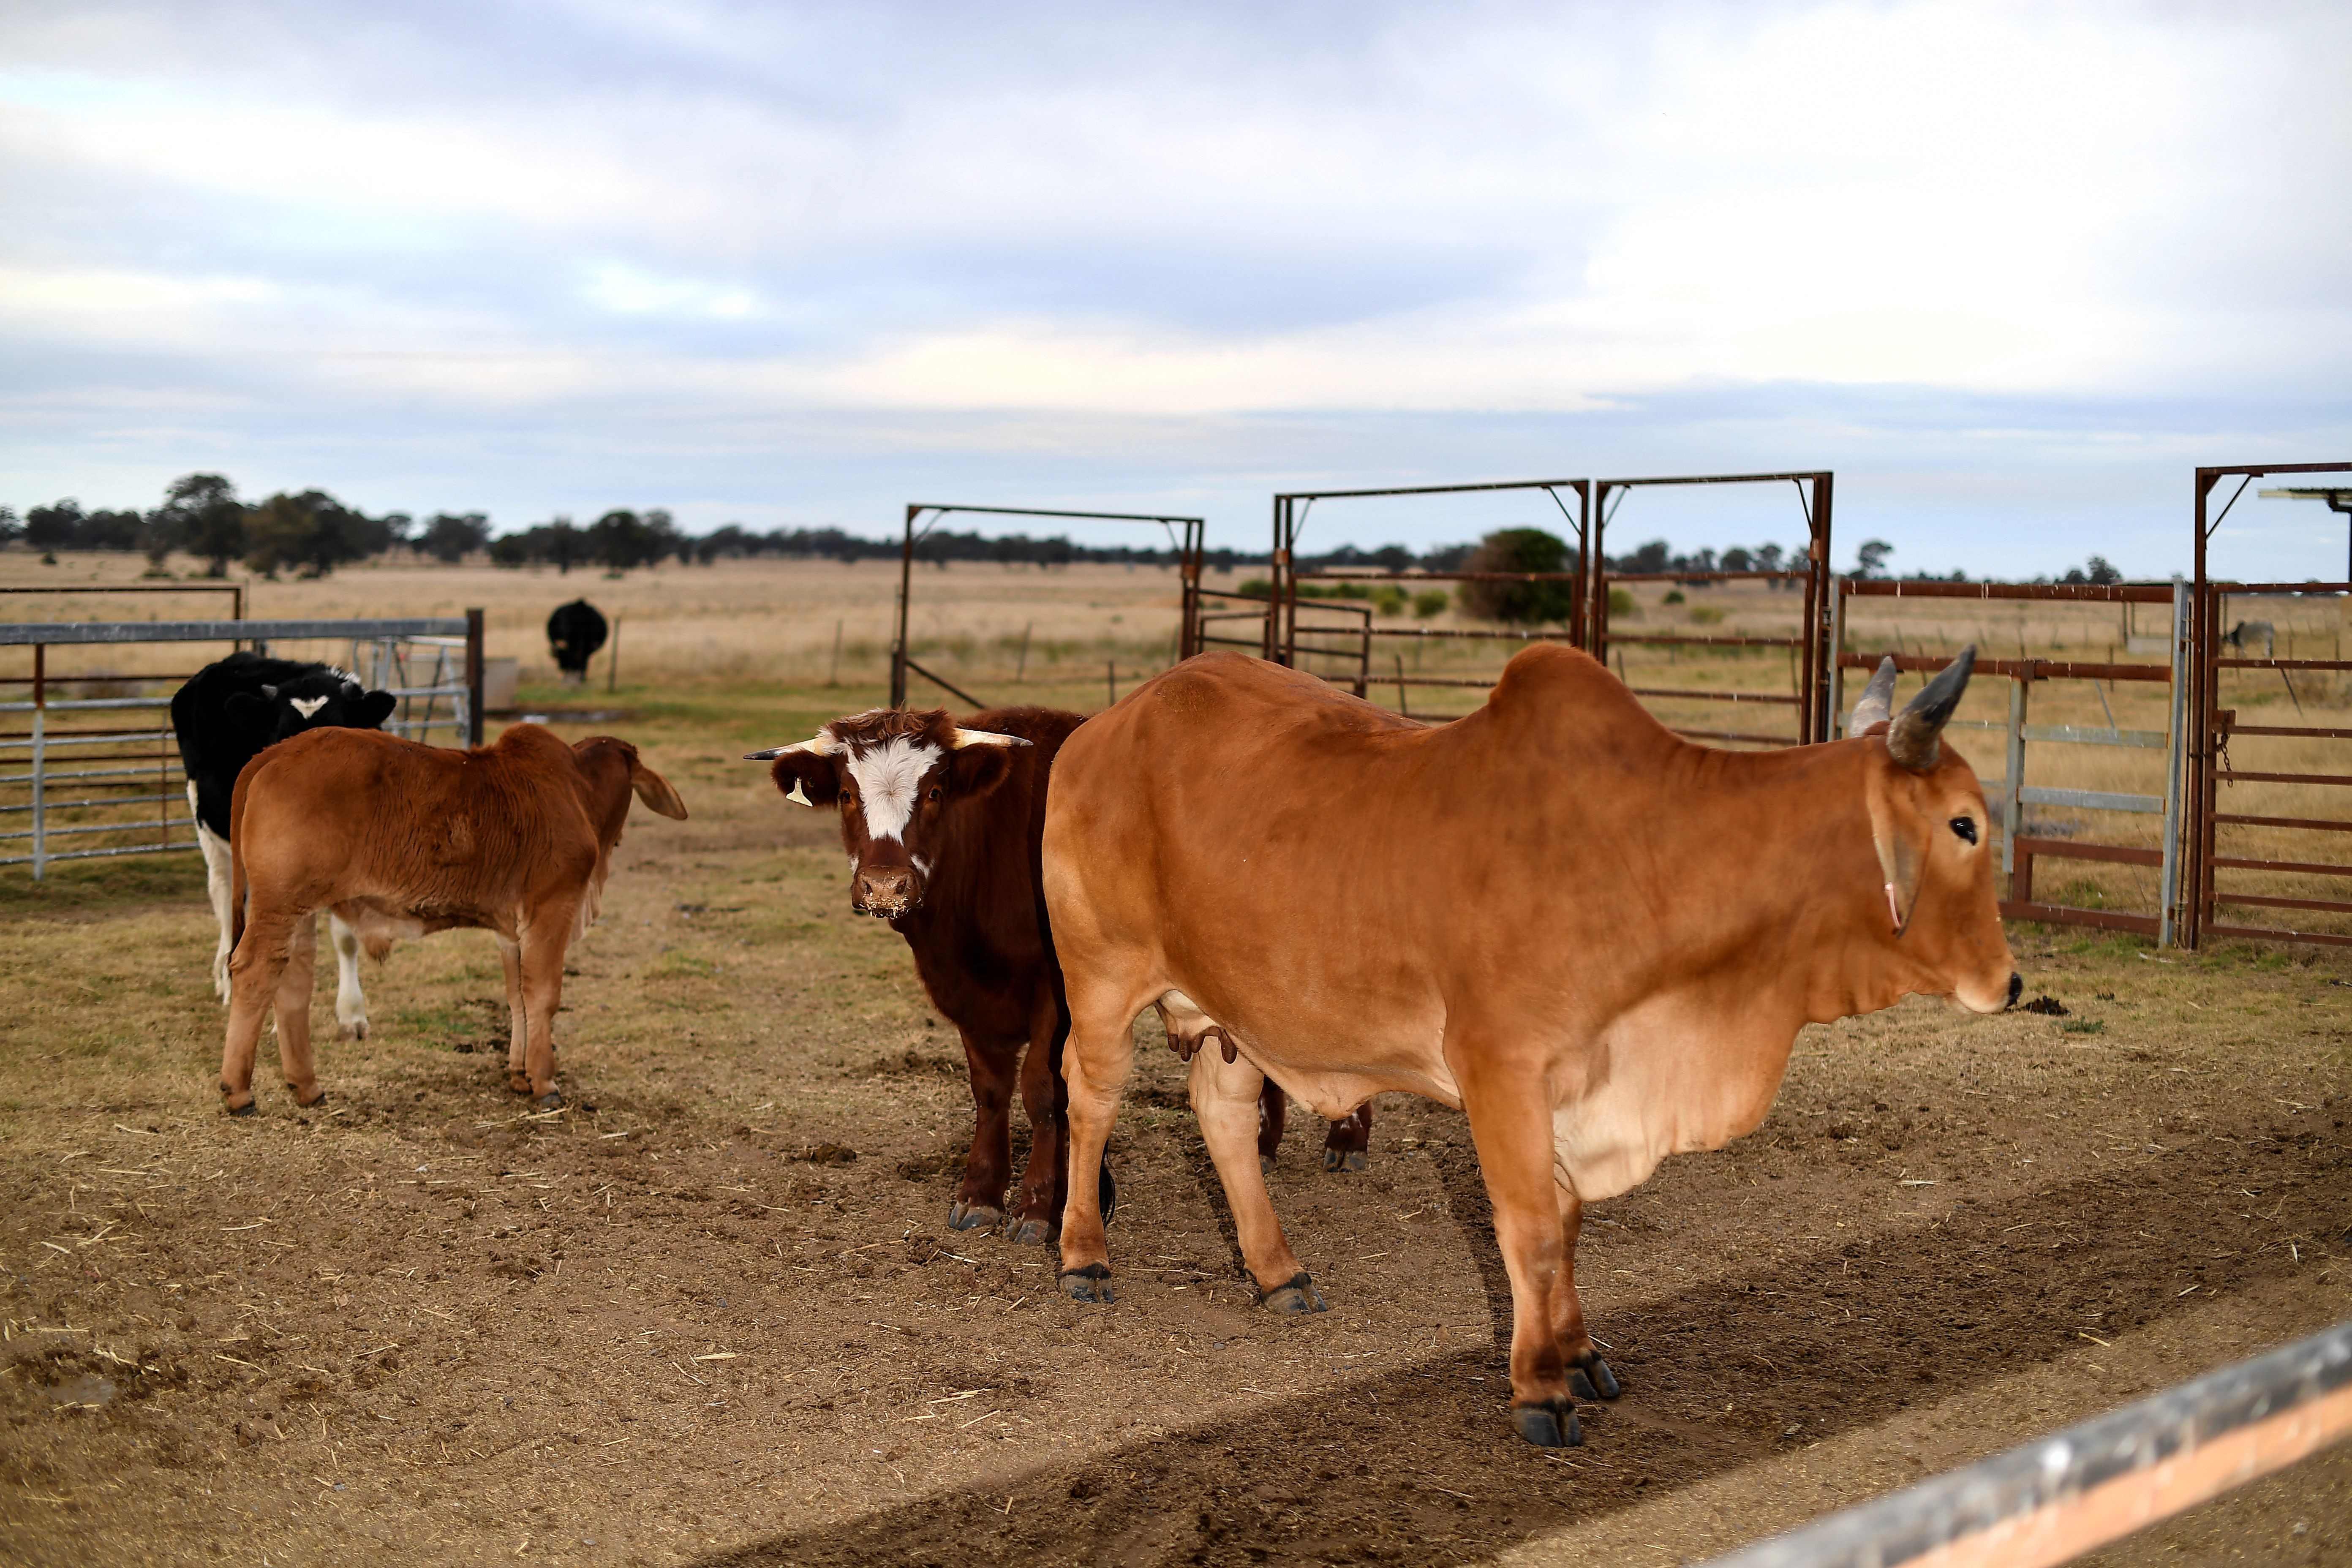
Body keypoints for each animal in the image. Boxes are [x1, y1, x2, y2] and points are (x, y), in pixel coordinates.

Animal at [172, 653, 400, 1034]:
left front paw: (352, 1015)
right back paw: (229, 981)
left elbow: (346, 936)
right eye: (281, 739)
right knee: (225, 899)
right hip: (213, 834)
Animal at [221, 729, 686, 1114]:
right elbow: (544, 997)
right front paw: (545, 1081)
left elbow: (517, 997)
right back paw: (239, 1091)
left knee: (291, 984)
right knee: (253, 972)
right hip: (279, 906)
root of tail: (276, 752)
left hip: (297, 912)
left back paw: (307, 1087)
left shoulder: (511, 932)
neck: (577, 789)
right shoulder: (552, 910)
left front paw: (519, 1074)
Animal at [752, 705, 1373, 1241]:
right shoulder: (964, 993)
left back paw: (1347, 1138)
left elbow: (1045, 1090)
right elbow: (990, 1090)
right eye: (847, 794)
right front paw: (981, 1192)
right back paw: (1266, 1143)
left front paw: (1042, 1205)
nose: (885, 886)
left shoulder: (1060, 991)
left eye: (933, 792)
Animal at [1049, 649, 2023, 1448]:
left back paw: (1277, 1272)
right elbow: (1529, 1231)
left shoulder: (1577, 1092)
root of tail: (1102, 727)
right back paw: (1084, 1256)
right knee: (1088, 1100)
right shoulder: (1501, 1073)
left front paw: (1581, 1351)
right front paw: (1539, 1387)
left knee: (1221, 1116)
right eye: (1964, 825)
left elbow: (1570, 1225)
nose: (2010, 983)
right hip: (1100, 980)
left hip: (1240, 1014)